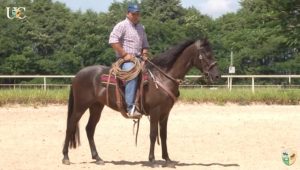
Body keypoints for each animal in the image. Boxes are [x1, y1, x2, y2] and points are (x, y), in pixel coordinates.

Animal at [62, 37, 219, 167]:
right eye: (206, 54)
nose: (217, 75)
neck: (163, 77)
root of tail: (78, 75)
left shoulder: (165, 112)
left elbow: (163, 135)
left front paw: (167, 160)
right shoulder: (155, 111)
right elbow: (153, 134)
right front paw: (152, 160)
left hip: (96, 107)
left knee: (89, 129)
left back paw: (98, 158)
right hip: (80, 106)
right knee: (70, 126)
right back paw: (66, 157)